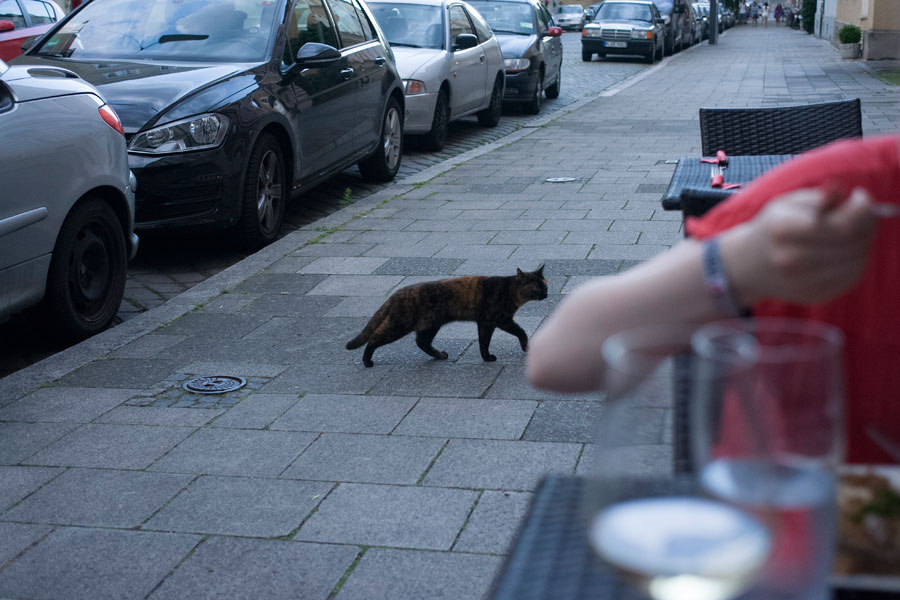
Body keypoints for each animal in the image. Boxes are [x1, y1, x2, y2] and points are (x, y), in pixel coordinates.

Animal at [346, 265, 548, 367]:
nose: (547, 294)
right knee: (375, 337)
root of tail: (396, 293)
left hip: (430, 325)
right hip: (399, 325)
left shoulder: (499, 321)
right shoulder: (492, 321)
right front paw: (488, 357)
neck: (509, 291)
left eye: (545, 285)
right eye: (537, 287)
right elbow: (489, 340)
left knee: (422, 342)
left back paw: (439, 355)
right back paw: (367, 361)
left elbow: (515, 333)